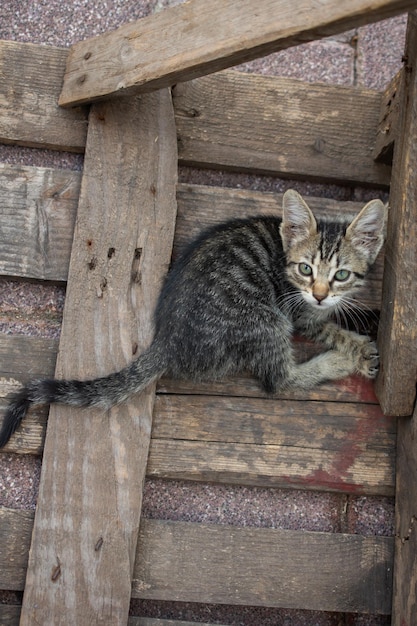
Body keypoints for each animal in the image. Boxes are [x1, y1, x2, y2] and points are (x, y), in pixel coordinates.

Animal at [0, 188, 386, 446]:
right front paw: (356, 349)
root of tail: (167, 339)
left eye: (341, 275)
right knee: (279, 380)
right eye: (305, 269)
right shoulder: (298, 309)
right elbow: (325, 328)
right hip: (263, 316)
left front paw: (360, 320)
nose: (319, 294)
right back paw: (335, 363)